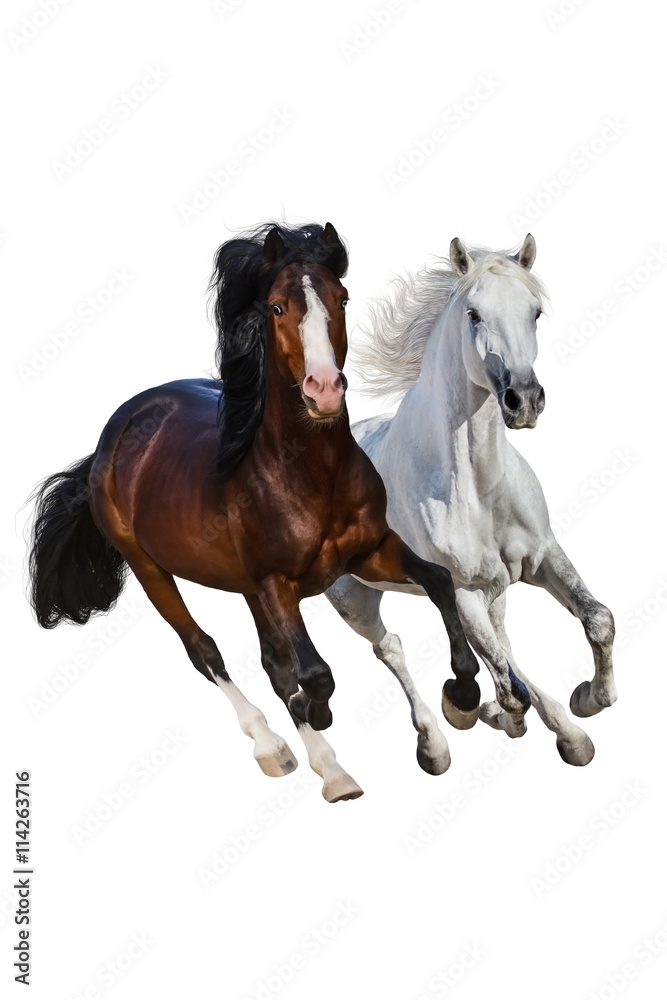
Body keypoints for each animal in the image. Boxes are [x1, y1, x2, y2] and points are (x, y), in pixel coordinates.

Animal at [29, 222, 479, 802]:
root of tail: (115, 433)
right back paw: (281, 751)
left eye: (342, 297)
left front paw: (462, 698)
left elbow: (440, 583)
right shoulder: (276, 584)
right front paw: (322, 718)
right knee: (206, 652)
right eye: (277, 307)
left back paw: (329, 766)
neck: (311, 474)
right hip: (152, 571)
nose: (324, 390)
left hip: (242, 585)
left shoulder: (371, 552)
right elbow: (315, 674)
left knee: (271, 664)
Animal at [326, 235, 617, 766]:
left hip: (492, 588)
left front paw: (587, 700)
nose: (523, 399)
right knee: (390, 647)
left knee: (501, 646)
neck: (478, 487)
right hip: (353, 597)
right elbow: (507, 685)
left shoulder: (541, 555)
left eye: (535, 312)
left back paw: (566, 732)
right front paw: (477, 711)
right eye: (474, 314)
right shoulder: (463, 587)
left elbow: (597, 620)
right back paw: (434, 744)